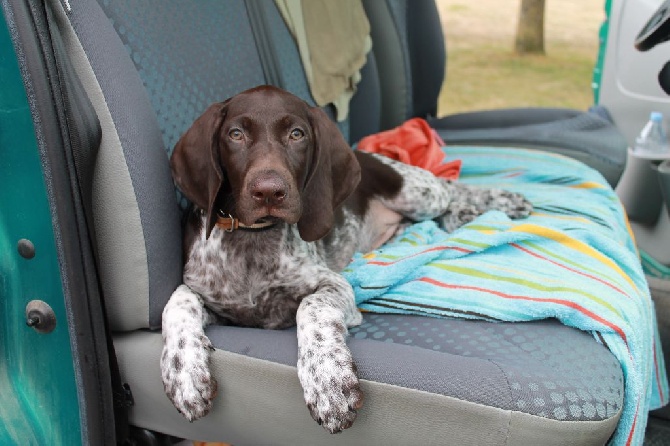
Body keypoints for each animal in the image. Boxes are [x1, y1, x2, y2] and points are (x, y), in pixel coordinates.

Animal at [160, 85, 532, 434]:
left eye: (297, 134)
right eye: (235, 134)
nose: (269, 192)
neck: (251, 240)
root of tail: (361, 152)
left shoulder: (333, 285)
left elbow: (310, 307)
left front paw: (327, 379)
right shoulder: (212, 299)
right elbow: (177, 303)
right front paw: (182, 373)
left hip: (417, 192)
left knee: (450, 187)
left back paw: (498, 201)